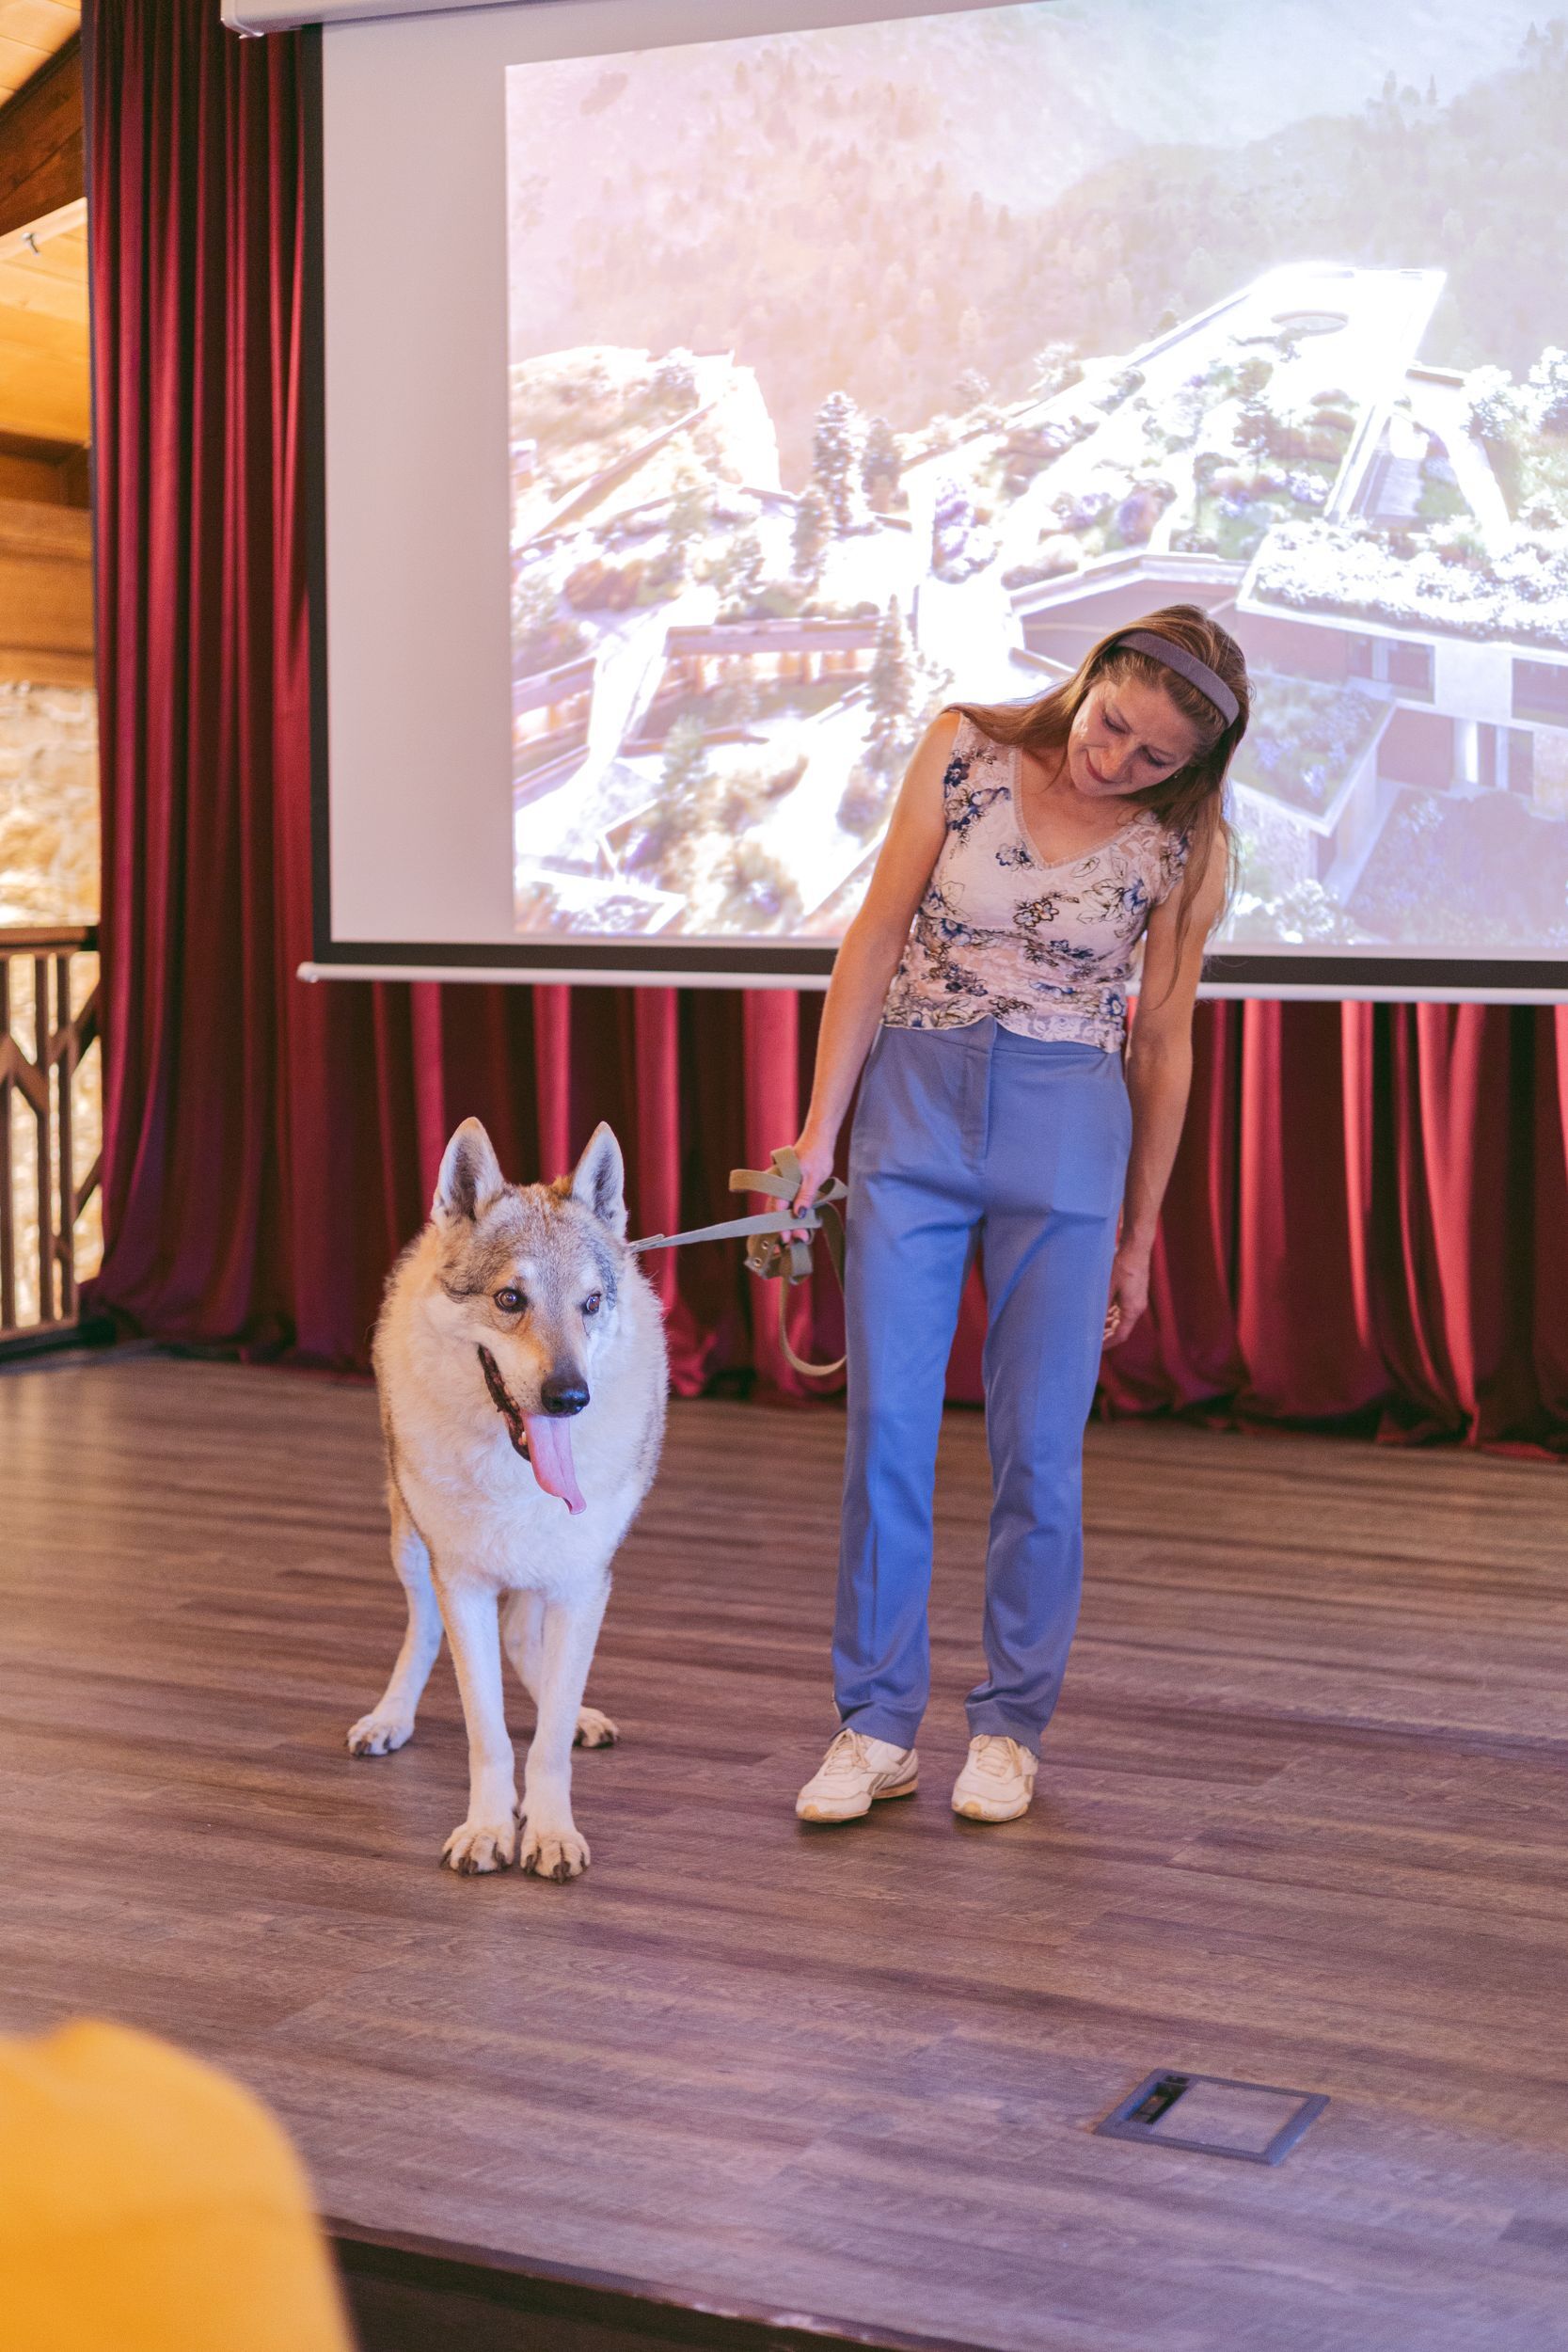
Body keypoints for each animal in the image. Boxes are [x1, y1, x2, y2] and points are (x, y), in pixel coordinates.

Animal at [347, 1116, 667, 1880]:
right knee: (423, 1630)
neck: (520, 1481)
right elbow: (486, 1732)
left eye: (590, 1304)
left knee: (531, 1646)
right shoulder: (461, 1581)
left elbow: (545, 1742)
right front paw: (488, 1829)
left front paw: (549, 1832)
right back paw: (390, 1718)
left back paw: (578, 1718)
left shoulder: (583, 1582)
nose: (570, 1397)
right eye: (510, 1300)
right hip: (411, 1544)